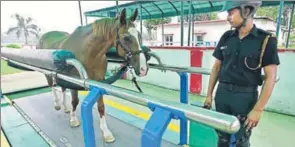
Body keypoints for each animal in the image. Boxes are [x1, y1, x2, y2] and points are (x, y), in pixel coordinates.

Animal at [37, 8, 150, 142]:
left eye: (139, 35)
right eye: (126, 38)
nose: (143, 69)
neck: (88, 52)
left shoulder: (99, 82)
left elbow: (101, 106)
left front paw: (106, 132)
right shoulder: (74, 81)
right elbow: (75, 101)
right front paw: (73, 119)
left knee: (63, 88)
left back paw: (65, 107)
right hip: (47, 72)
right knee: (52, 86)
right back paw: (57, 104)